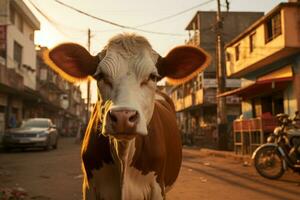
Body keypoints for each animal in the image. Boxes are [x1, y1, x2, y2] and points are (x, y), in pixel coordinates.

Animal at [46, 33, 211, 200]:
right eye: (100, 76)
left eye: (152, 76)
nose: (123, 117)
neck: (123, 156)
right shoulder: (89, 187)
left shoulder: (157, 189)